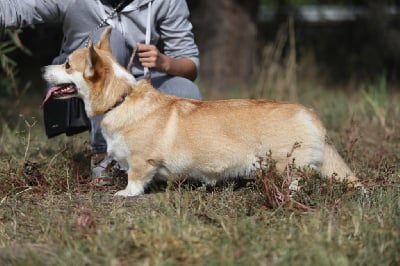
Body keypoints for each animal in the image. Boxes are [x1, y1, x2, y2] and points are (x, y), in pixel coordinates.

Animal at [42, 27, 360, 196]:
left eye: (67, 65)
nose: (43, 69)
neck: (122, 99)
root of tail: (309, 113)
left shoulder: (142, 160)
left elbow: (136, 179)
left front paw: (125, 194)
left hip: (287, 164)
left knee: (297, 181)